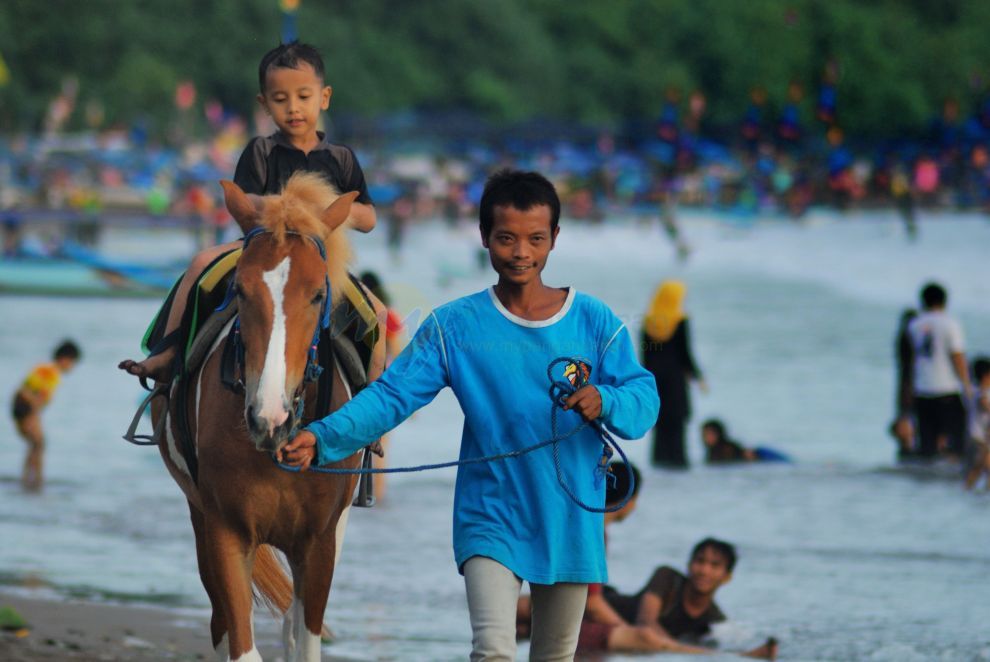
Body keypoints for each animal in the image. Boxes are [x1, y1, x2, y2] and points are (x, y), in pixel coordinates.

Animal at [154, 175, 380, 662]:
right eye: (240, 290)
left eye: (318, 294)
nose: (267, 417)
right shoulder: (225, 530)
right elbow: (240, 641)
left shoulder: (320, 542)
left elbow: (304, 637)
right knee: (220, 621)